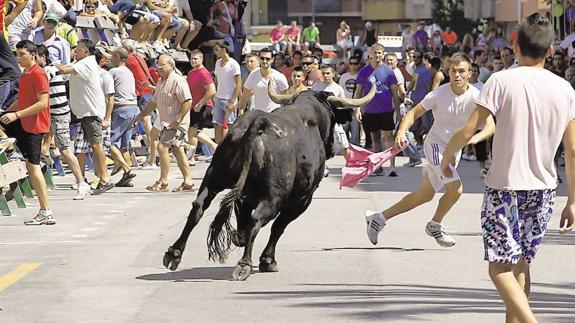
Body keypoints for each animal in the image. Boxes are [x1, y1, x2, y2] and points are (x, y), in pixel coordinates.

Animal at [163, 85, 378, 280]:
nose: (333, 148)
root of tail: (259, 123)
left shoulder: (246, 195)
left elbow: (245, 222)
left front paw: (239, 238)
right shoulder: (302, 200)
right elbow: (278, 227)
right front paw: (267, 260)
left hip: (214, 178)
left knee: (199, 207)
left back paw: (174, 253)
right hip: (274, 196)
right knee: (258, 219)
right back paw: (244, 264)